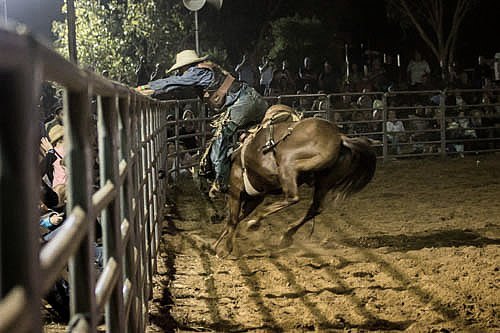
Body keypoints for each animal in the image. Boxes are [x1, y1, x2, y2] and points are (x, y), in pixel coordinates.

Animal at [213, 105, 376, 255]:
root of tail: (340, 138)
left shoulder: (236, 190)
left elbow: (233, 219)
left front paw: (225, 248)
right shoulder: (255, 197)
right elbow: (237, 218)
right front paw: (215, 244)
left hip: (288, 164)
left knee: (292, 197)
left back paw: (255, 222)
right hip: (324, 182)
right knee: (315, 208)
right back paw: (286, 236)